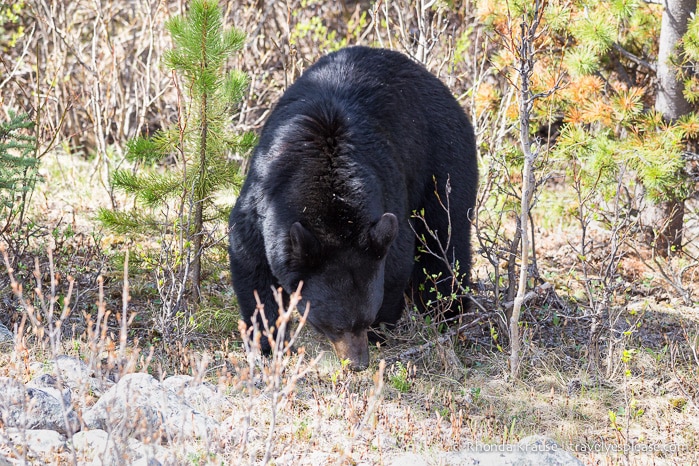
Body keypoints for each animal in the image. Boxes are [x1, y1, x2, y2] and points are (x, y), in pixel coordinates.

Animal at [227, 45, 478, 370]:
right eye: (334, 326)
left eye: (364, 319)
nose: (358, 363)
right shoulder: (262, 203)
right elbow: (251, 262)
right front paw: (269, 342)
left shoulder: (387, 199)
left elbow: (396, 263)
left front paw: (380, 331)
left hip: (444, 157)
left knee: (446, 236)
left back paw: (448, 312)